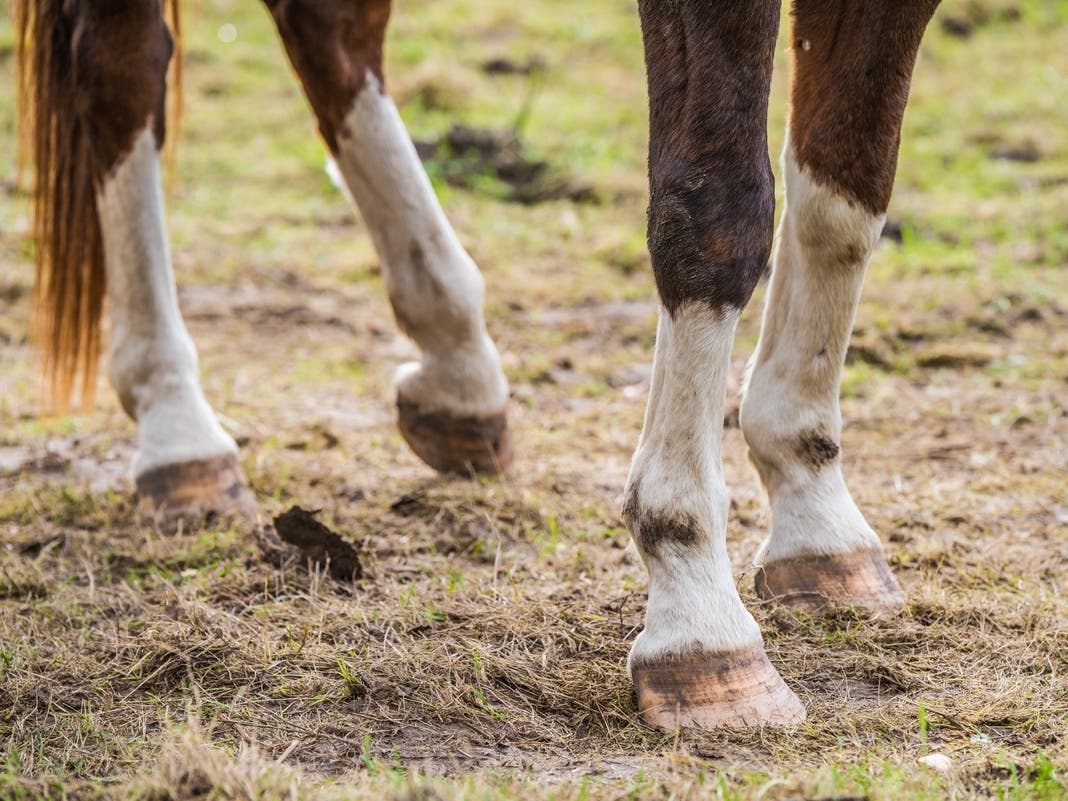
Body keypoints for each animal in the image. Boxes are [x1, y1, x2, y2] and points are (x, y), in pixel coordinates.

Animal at [13, 0, 942, 730]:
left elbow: (846, 190)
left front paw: (815, 510)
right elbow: (718, 208)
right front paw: (698, 612)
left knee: (325, 26)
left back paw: (458, 368)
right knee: (119, 60)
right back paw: (178, 428)